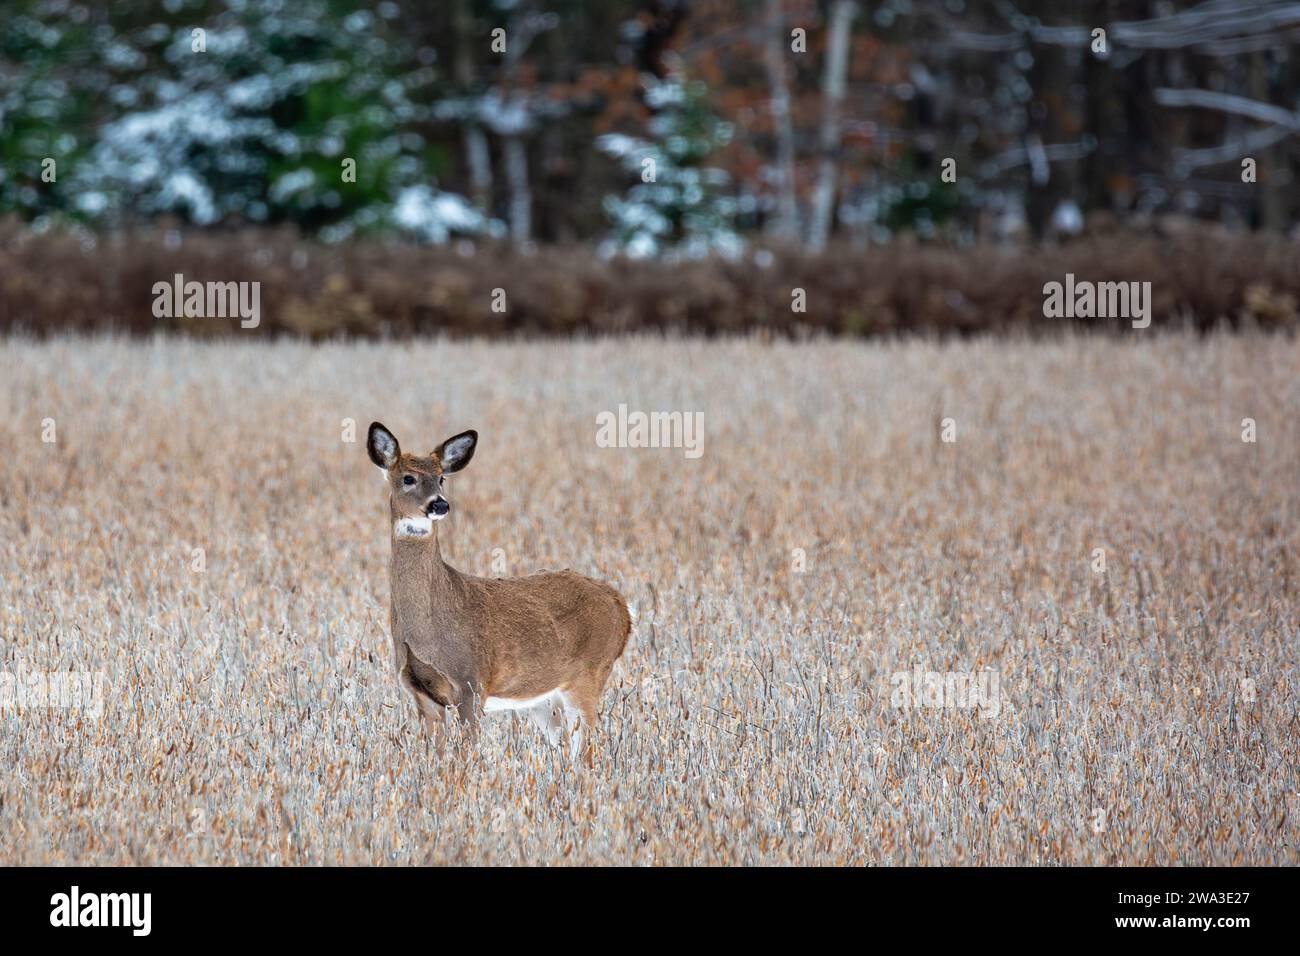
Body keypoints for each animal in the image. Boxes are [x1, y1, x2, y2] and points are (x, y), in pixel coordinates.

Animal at [366, 422, 631, 758]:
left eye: (441, 477)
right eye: (408, 478)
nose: (440, 504)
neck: (427, 629)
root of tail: (621, 605)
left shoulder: (472, 681)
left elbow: (469, 753)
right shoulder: (421, 693)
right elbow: (436, 756)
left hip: (590, 672)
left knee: (588, 748)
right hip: (544, 698)